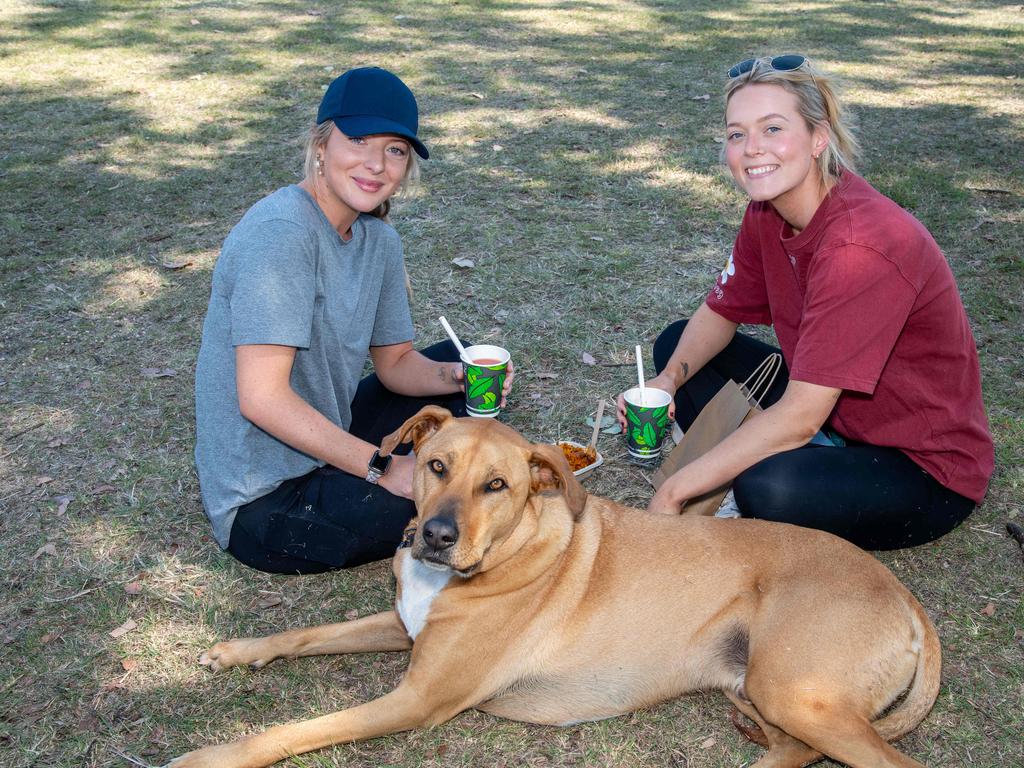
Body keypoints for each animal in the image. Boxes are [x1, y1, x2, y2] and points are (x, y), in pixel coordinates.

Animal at [165, 405, 937, 765]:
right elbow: (306, 633)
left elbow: (293, 730)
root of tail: (903, 597)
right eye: (436, 465)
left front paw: (208, 755)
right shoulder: (403, 625)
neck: (506, 553)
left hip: (796, 690)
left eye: (497, 485)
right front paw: (235, 652)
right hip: (774, 690)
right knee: (796, 746)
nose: (435, 537)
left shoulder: (416, 698)